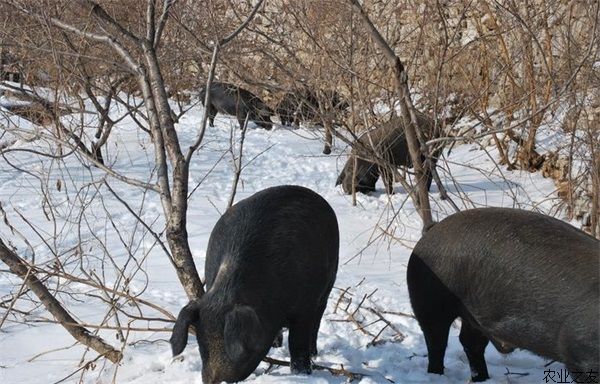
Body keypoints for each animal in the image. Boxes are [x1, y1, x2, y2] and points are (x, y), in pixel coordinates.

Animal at [170, 184, 338, 382]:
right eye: (202, 344)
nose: (214, 380)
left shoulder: (305, 305)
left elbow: (298, 342)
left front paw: (302, 373)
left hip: (328, 283)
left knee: (317, 320)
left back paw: (314, 353)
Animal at [406, 208, 596, 382]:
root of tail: (432, 229)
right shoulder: (579, 354)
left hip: (473, 316)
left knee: (470, 342)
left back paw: (482, 379)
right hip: (429, 303)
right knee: (437, 343)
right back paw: (436, 375)